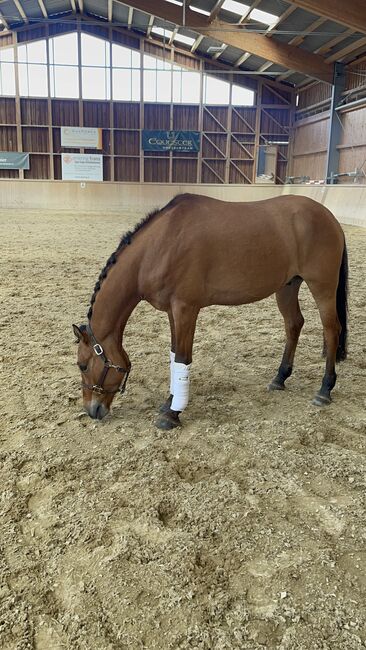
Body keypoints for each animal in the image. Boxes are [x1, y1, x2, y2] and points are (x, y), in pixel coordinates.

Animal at [72, 190, 348, 428]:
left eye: (82, 365)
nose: (91, 410)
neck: (162, 243)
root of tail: (328, 216)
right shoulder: (172, 311)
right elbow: (174, 354)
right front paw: (169, 402)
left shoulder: (186, 309)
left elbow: (183, 358)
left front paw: (172, 414)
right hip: (288, 286)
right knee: (294, 324)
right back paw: (280, 378)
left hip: (322, 286)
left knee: (331, 330)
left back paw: (324, 389)